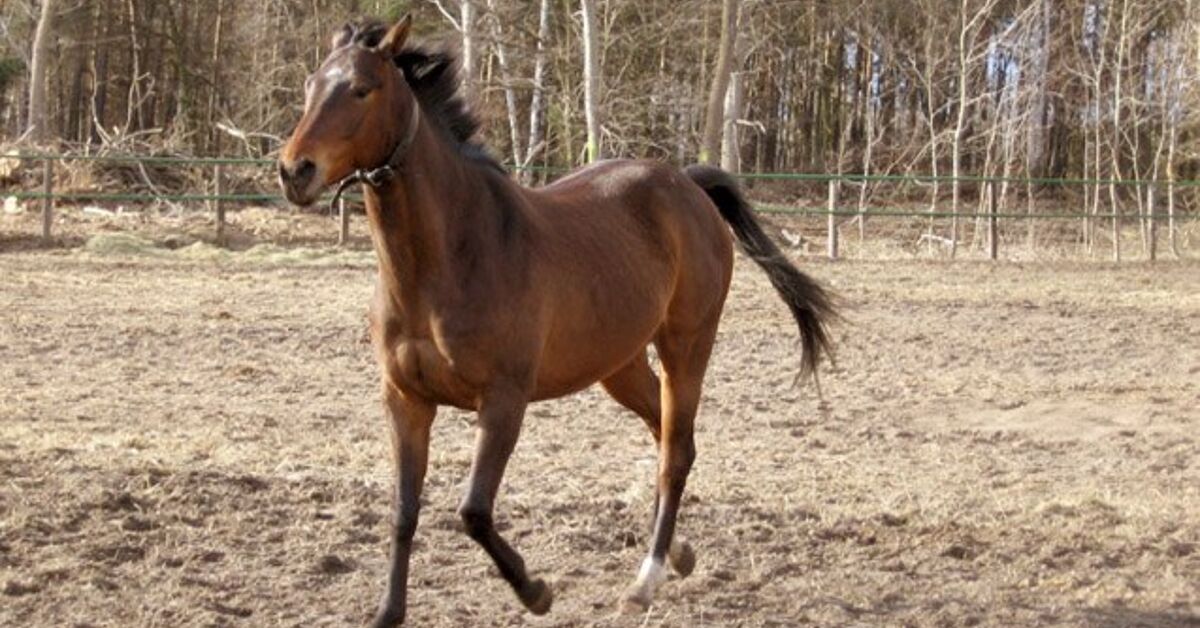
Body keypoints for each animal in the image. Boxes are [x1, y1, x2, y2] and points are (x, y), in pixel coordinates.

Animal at [277, 16, 836, 627]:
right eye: (310, 86)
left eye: (362, 89)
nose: (294, 170)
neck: (446, 259)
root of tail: (687, 184)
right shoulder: (405, 399)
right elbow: (404, 509)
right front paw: (387, 613)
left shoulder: (504, 399)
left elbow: (473, 510)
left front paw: (536, 591)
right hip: (618, 365)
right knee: (666, 434)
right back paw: (680, 553)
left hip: (687, 346)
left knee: (675, 453)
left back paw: (645, 580)